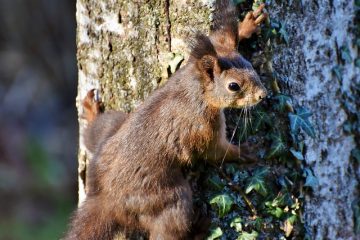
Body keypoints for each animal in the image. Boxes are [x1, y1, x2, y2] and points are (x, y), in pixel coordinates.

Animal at [64, 0, 268, 239]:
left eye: (251, 67)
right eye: (233, 86)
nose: (263, 95)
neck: (196, 87)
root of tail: (108, 200)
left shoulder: (196, 60)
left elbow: (220, 38)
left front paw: (246, 26)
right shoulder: (203, 129)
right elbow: (217, 152)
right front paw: (246, 152)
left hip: (112, 126)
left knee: (93, 134)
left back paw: (92, 112)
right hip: (169, 197)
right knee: (169, 229)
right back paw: (198, 229)